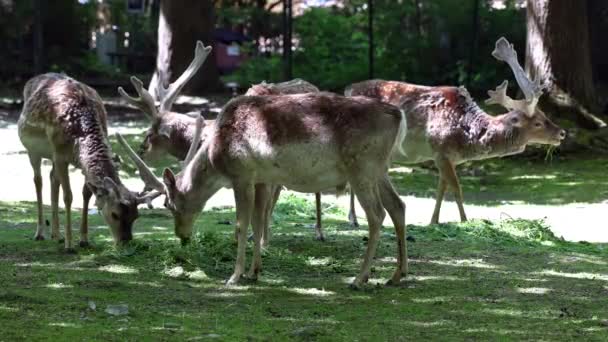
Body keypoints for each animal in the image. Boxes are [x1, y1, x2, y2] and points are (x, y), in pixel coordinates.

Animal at [17, 72, 153, 251]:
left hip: (51, 156)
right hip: (32, 149)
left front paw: (84, 240)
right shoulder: (60, 154)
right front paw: (69, 245)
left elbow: (86, 193)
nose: (125, 242)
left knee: (53, 178)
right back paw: (40, 233)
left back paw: (56, 234)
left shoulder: (75, 162)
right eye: (114, 214)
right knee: (38, 180)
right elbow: (68, 196)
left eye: (136, 216)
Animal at [116, 66, 406, 286]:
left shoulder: (241, 175)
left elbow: (241, 224)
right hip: (379, 169)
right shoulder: (263, 179)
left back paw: (360, 278)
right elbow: (258, 221)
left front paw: (234, 276)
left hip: (362, 167)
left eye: (169, 204)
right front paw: (255, 272)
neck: (216, 155)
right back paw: (396, 275)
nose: (182, 236)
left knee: (377, 214)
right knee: (398, 206)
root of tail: (398, 115)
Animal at [344, 37, 568, 226]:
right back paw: (353, 218)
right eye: (538, 123)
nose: (562, 133)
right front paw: (464, 220)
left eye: (545, 115)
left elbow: (442, 189)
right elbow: (457, 189)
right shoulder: (441, 150)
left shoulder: (447, 158)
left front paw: (434, 220)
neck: (467, 138)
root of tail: (348, 89)